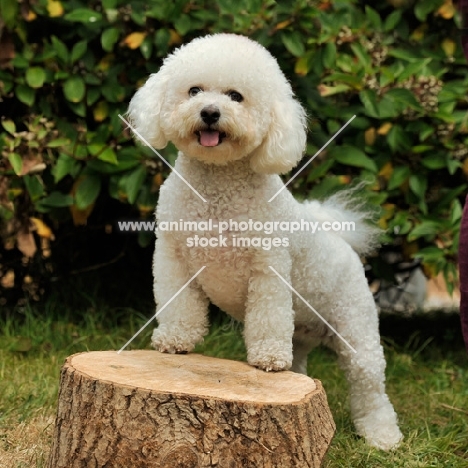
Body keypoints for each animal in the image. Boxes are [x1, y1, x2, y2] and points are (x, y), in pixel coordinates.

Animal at [127, 33, 402, 450]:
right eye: (194, 90)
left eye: (236, 96)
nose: (210, 112)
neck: (216, 189)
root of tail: (340, 239)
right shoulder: (173, 258)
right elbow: (179, 306)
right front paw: (175, 340)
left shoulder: (268, 269)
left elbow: (268, 318)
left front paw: (268, 359)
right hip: (303, 332)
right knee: (303, 364)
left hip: (357, 329)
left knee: (370, 386)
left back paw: (383, 436)